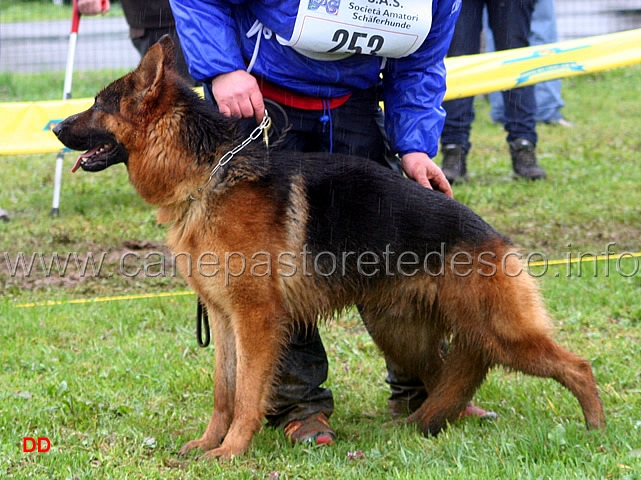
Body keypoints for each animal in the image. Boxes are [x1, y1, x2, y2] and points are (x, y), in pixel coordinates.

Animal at [52, 36, 604, 458]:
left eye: (97, 105)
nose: (54, 127)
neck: (208, 175)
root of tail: (491, 233)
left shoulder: (256, 321)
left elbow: (247, 395)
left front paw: (231, 452)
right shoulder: (226, 319)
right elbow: (223, 393)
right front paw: (208, 445)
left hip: (500, 332)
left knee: (577, 366)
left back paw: (596, 430)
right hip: (406, 333)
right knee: (448, 376)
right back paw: (424, 423)